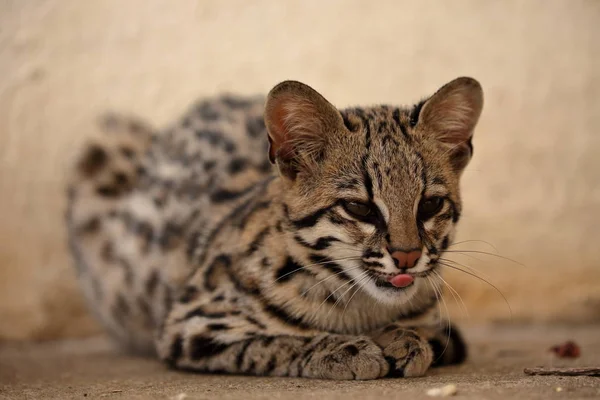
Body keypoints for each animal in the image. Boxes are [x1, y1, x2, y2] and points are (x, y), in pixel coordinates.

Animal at [68, 76, 486, 378]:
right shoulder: (189, 322)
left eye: (430, 204)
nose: (407, 257)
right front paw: (343, 349)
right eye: (358, 208)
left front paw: (404, 337)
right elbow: (273, 342)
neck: (361, 304)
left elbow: (431, 334)